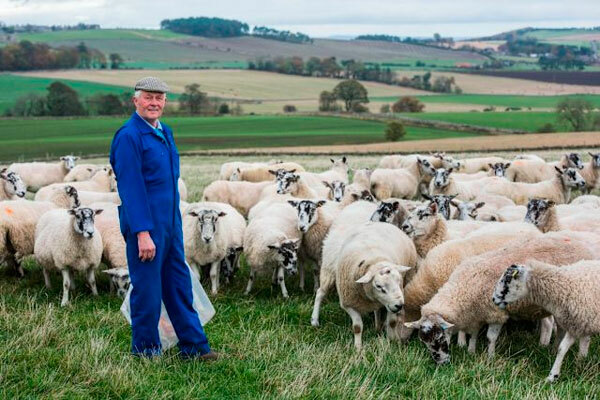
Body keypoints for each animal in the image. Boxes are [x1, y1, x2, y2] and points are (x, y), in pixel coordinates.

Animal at [404, 231, 599, 364]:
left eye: (439, 338)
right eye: (423, 341)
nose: (441, 362)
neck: (464, 287)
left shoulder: (496, 314)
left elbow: (490, 338)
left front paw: (489, 357)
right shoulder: (476, 314)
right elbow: (473, 334)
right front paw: (471, 351)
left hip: (584, 303)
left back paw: (579, 357)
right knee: (560, 329)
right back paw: (552, 350)